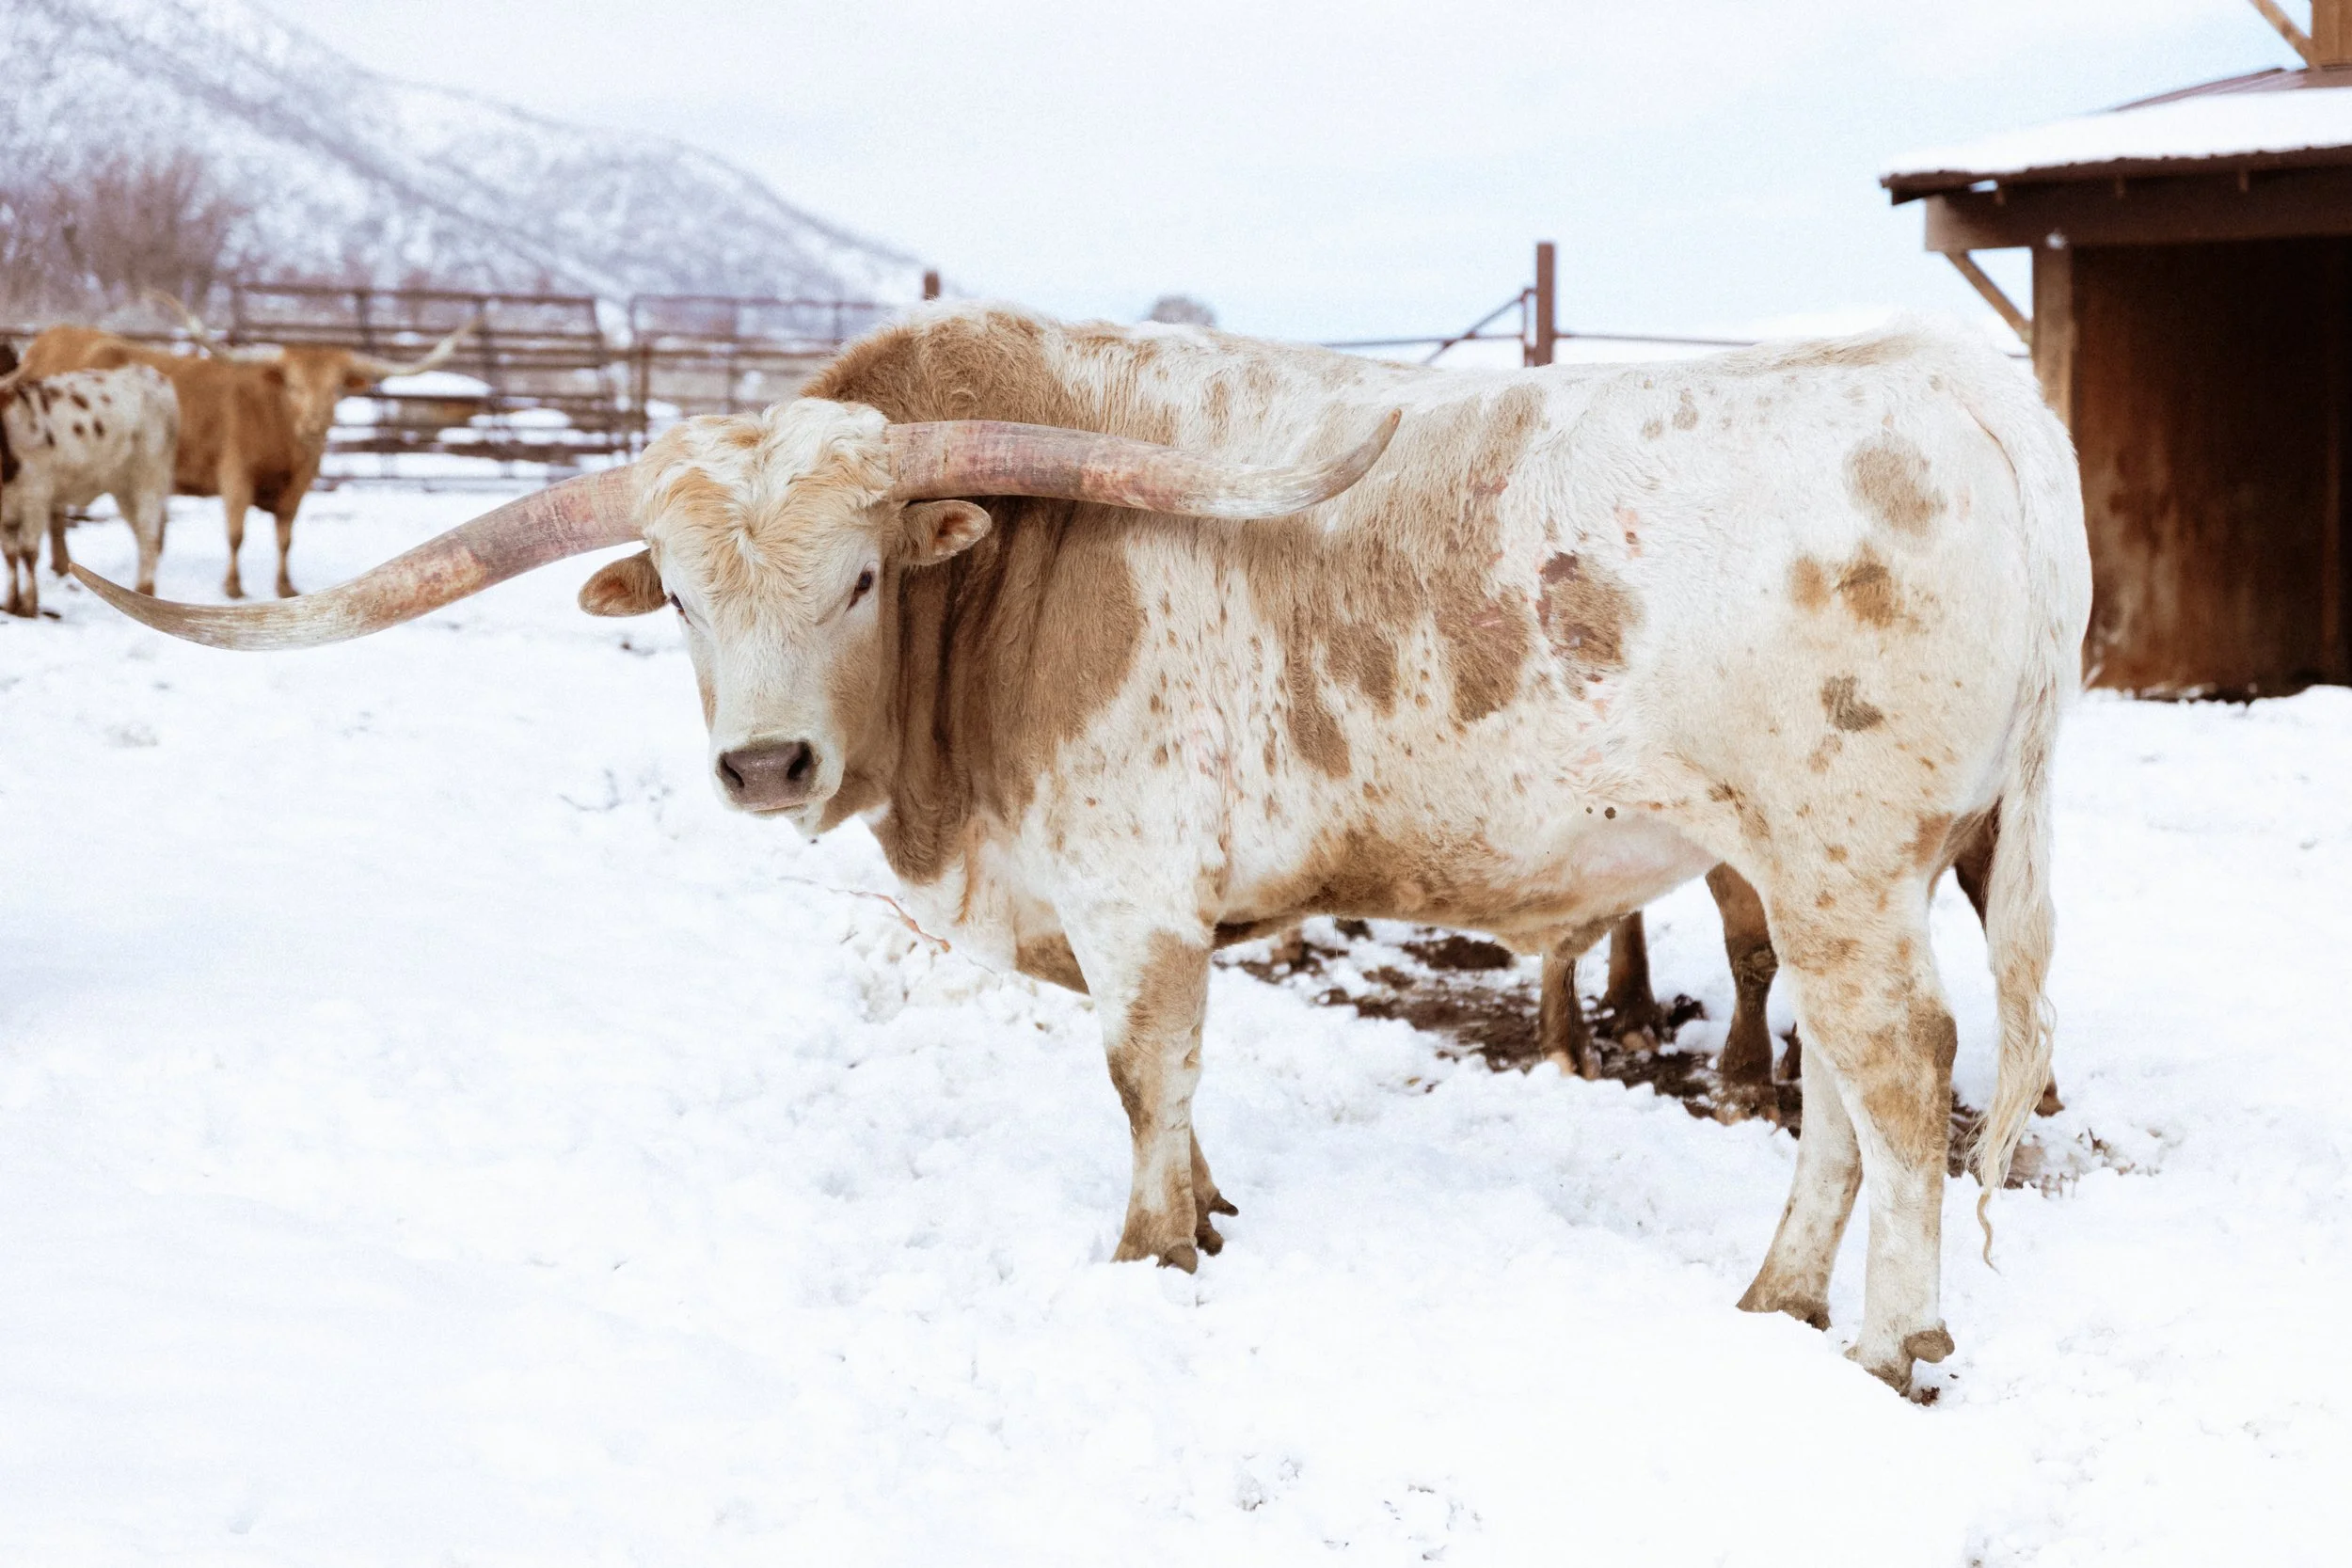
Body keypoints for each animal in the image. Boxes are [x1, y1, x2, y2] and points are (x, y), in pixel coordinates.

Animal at [1, 365, 177, 616]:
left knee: (148, 534)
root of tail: (148, 373)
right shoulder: (6, 508)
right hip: (124, 490)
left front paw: (28, 606)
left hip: (149, 480)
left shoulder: (36, 497)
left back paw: (145, 589)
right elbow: (9, 554)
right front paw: (10, 603)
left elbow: (28, 552)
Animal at [15, 304, 474, 598]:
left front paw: (285, 586)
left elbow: (285, 537)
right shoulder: (235, 475)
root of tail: (51, 340)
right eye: (293, 386)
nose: (314, 425)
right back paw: (61, 564)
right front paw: (233, 586)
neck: (281, 431)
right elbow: (236, 533)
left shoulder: (297, 488)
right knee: (56, 514)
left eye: (337, 388)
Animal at [76, 303, 2091, 1393]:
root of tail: (1947, 375)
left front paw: (1147, 1253)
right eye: (684, 599)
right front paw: (1207, 1211)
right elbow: (1181, 1092)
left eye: (863, 574)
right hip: (1840, 868)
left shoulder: (1133, 902)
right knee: (1841, 1094)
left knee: (1898, 1077)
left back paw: (1886, 1343)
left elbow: (1143, 1073)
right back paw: (1776, 1296)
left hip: (1835, 856)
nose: (764, 759)